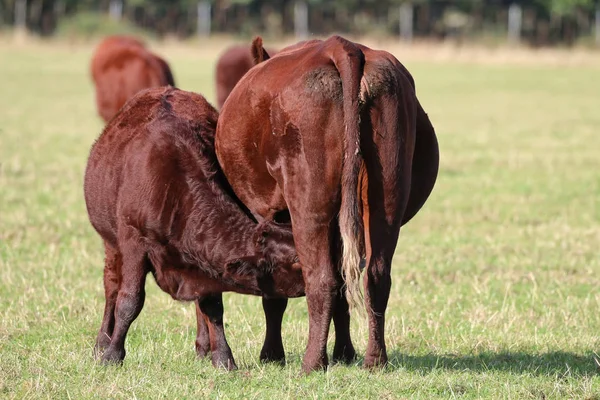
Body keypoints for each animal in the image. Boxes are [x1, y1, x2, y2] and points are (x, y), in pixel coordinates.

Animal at [83, 86, 304, 370]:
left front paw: (222, 357)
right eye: (297, 260)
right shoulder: (134, 242)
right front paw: (111, 355)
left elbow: (212, 305)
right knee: (111, 286)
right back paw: (102, 342)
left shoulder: (207, 264)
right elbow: (129, 300)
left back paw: (203, 347)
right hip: (110, 242)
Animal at [213, 36, 438, 374]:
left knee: (321, 279)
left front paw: (272, 354)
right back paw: (374, 360)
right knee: (375, 276)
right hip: (386, 190)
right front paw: (344, 352)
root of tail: (342, 46)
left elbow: (274, 292)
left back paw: (312, 362)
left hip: (309, 201)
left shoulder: (270, 214)